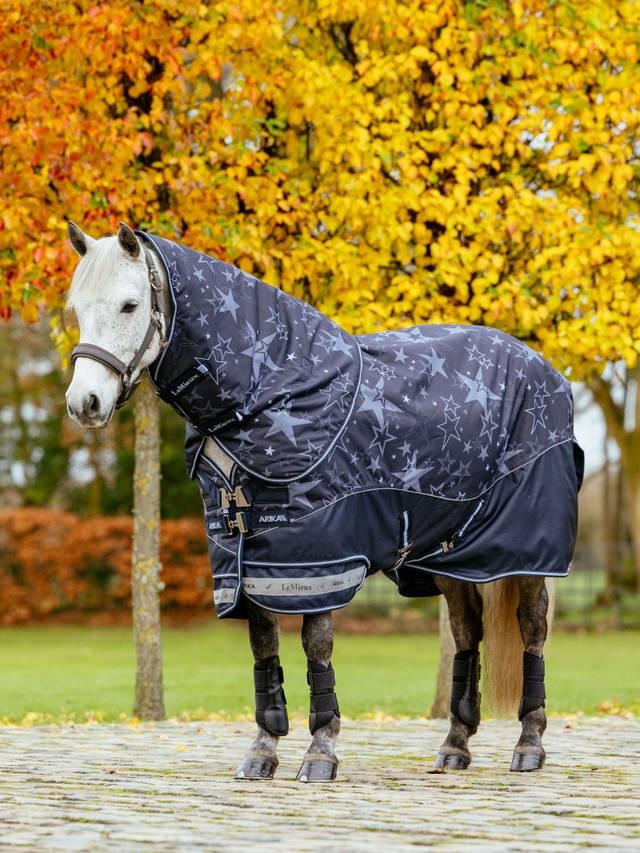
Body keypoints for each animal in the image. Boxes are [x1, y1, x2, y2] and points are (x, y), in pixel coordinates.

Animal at [65, 221, 583, 781]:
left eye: (130, 305)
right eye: (77, 308)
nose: (84, 403)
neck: (274, 392)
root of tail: (545, 371)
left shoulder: (318, 554)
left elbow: (317, 645)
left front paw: (320, 752)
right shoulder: (247, 555)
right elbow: (264, 648)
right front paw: (263, 751)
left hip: (526, 553)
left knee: (532, 631)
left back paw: (529, 744)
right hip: (452, 555)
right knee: (467, 632)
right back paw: (454, 747)